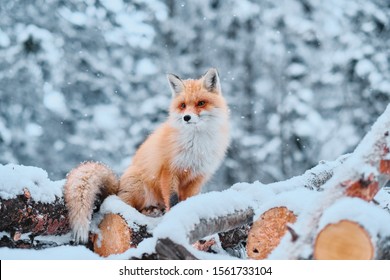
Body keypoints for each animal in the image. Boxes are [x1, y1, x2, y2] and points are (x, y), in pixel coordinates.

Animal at [63, 68, 229, 243]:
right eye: (183, 105)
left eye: (201, 103)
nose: (186, 117)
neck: (196, 145)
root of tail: (118, 186)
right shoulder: (169, 171)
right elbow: (173, 200)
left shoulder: (197, 176)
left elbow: (188, 201)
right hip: (140, 187)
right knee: (123, 205)